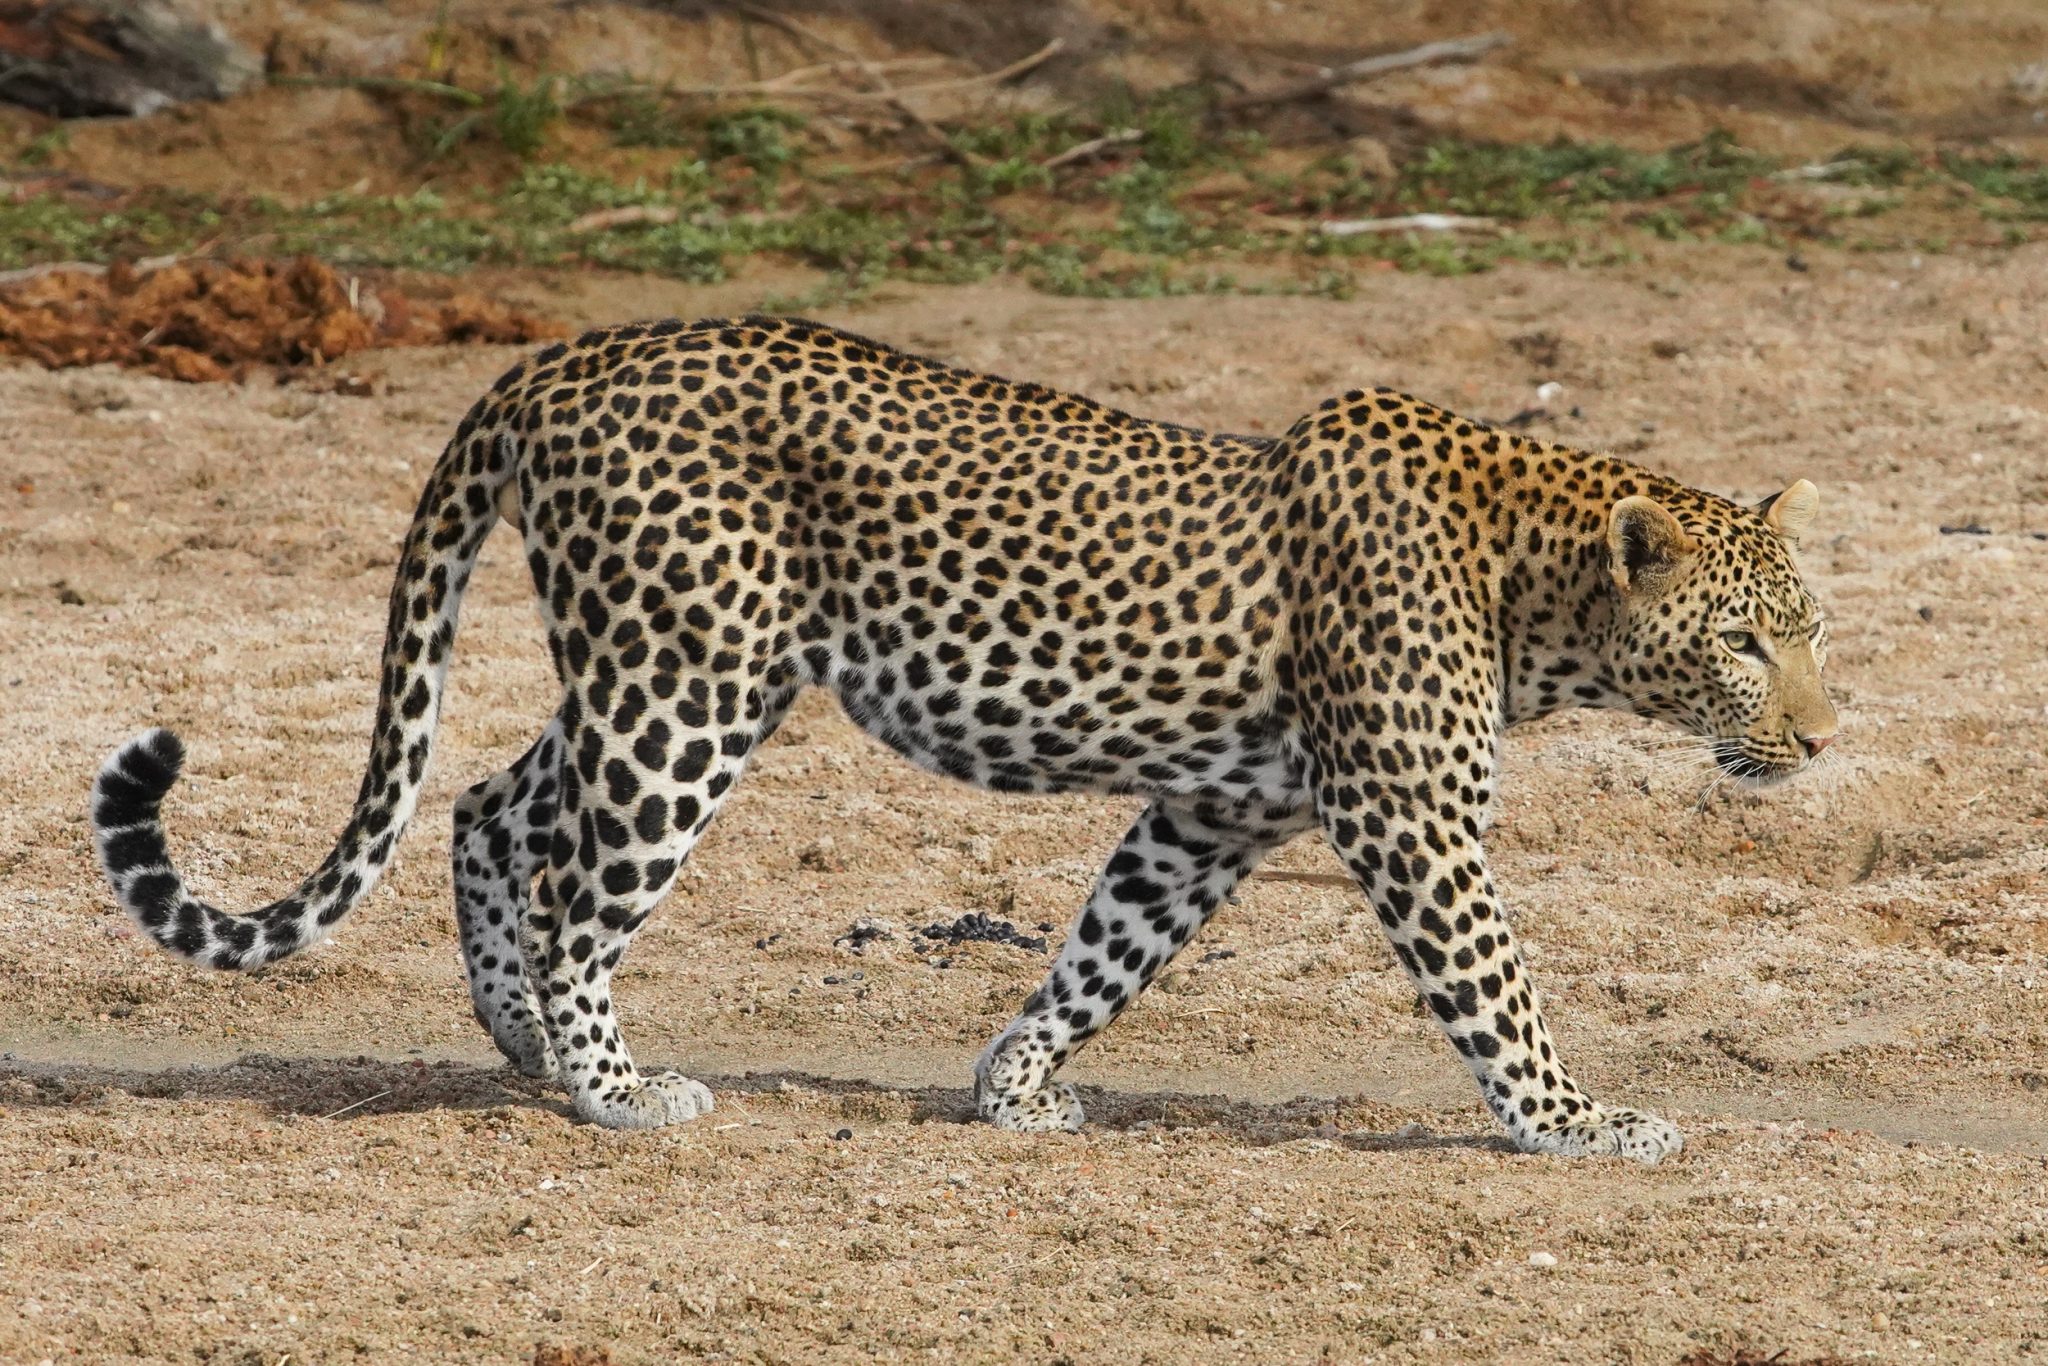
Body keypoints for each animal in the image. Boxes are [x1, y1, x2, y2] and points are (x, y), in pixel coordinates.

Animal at [91, 315, 1840, 1162]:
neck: (1540, 594)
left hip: (671, 677)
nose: (1826, 743)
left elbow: (1110, 948)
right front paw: (1577, 1122)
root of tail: (561, 356)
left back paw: (518, 1040)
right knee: (581, 884)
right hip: (687, 689)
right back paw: (613, 1089)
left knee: (484, 807)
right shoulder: (1410, 819)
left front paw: (1017, 1086)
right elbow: (1496, 987)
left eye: (1811, 626)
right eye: (1747, 642)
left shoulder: (1214, 812)